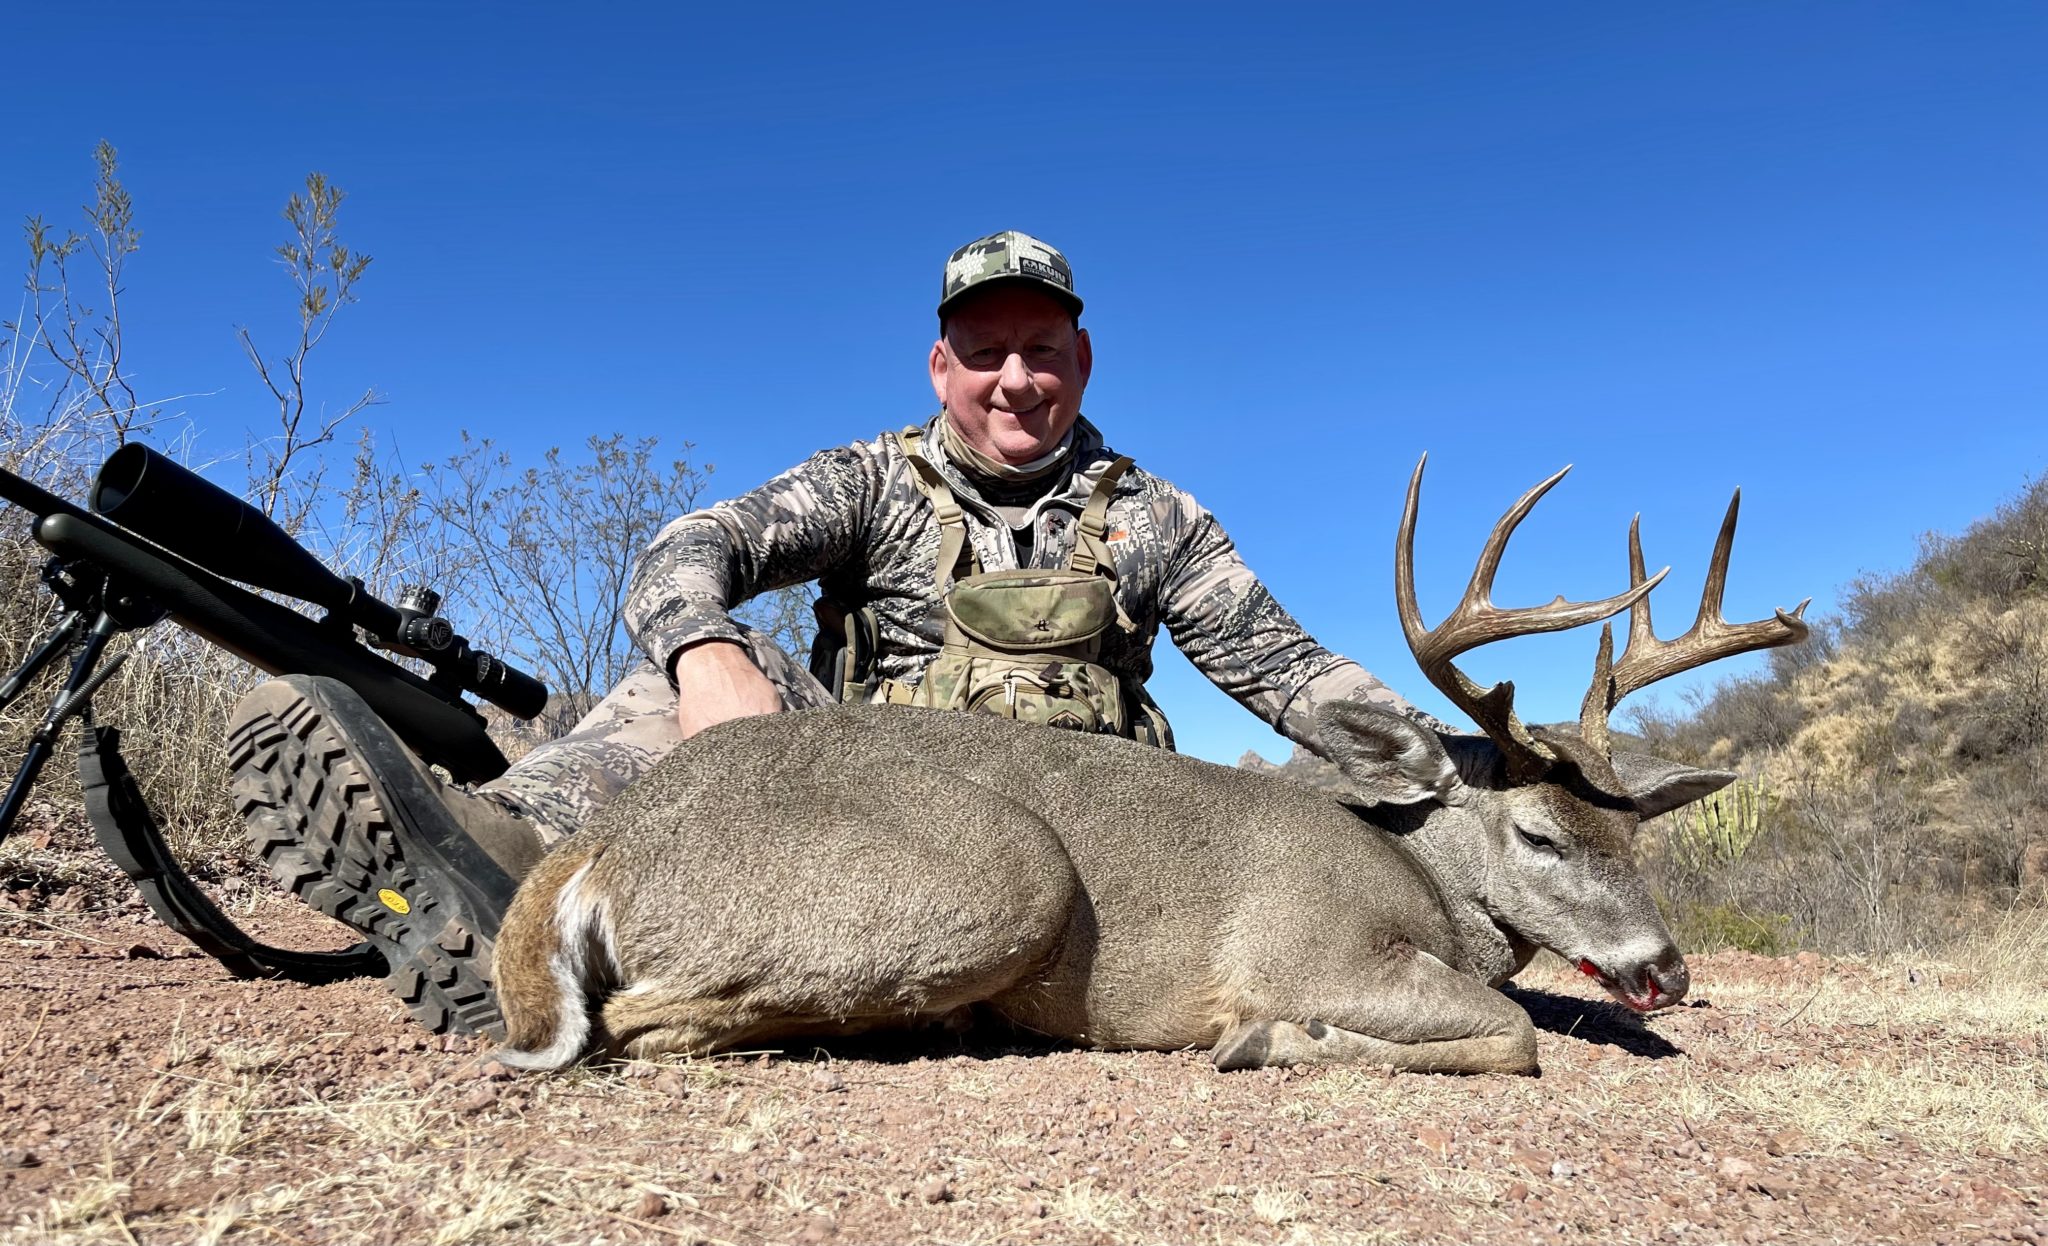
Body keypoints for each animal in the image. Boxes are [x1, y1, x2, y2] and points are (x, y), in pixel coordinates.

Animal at [489, 457, 1808, 1074]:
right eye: (1537, 833)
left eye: (1634, 837)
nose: (1664, 970)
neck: (1414, 879)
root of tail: (602, 843)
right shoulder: (1308, 946)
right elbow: (1510, 1029)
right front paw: (1270, 1041)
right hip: (1004, 871)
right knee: (626, 1022)